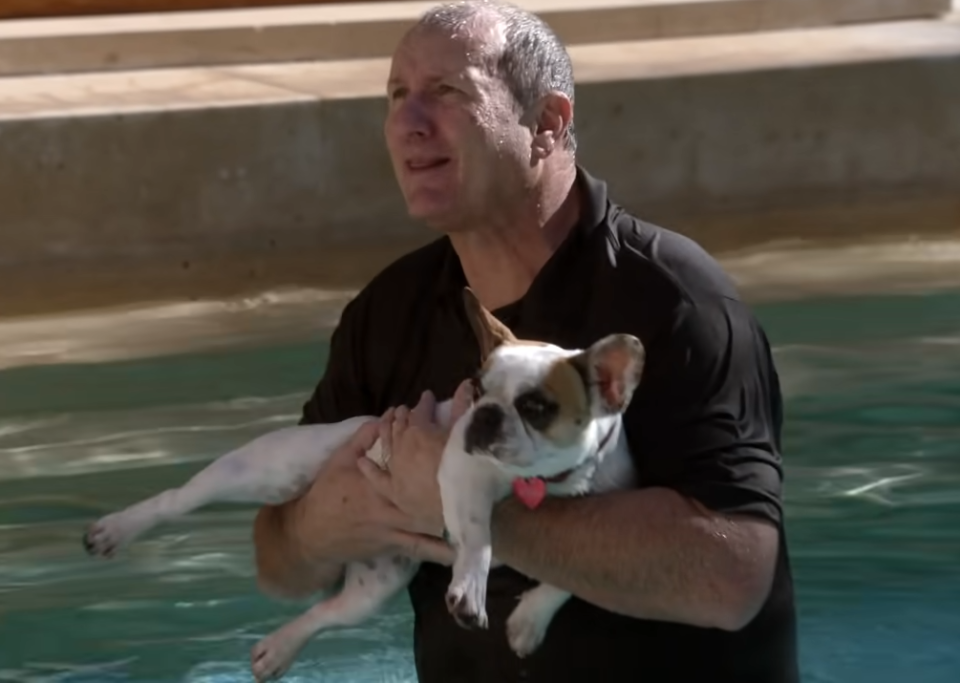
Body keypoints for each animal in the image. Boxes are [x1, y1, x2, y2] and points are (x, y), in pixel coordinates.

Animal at [82, 286, 644, 680]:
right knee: (181, 497)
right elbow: (478, 538)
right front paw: (471, 587)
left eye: (536, 406)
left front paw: (529, 620)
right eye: (476, 387)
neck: (544, 479)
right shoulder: (462, 474)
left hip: (375, 586)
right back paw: (118, 528)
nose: (483, 415)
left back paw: (280, 647)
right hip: (265, 467)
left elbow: (574, 578)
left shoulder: (614, 507)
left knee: (326, 613)